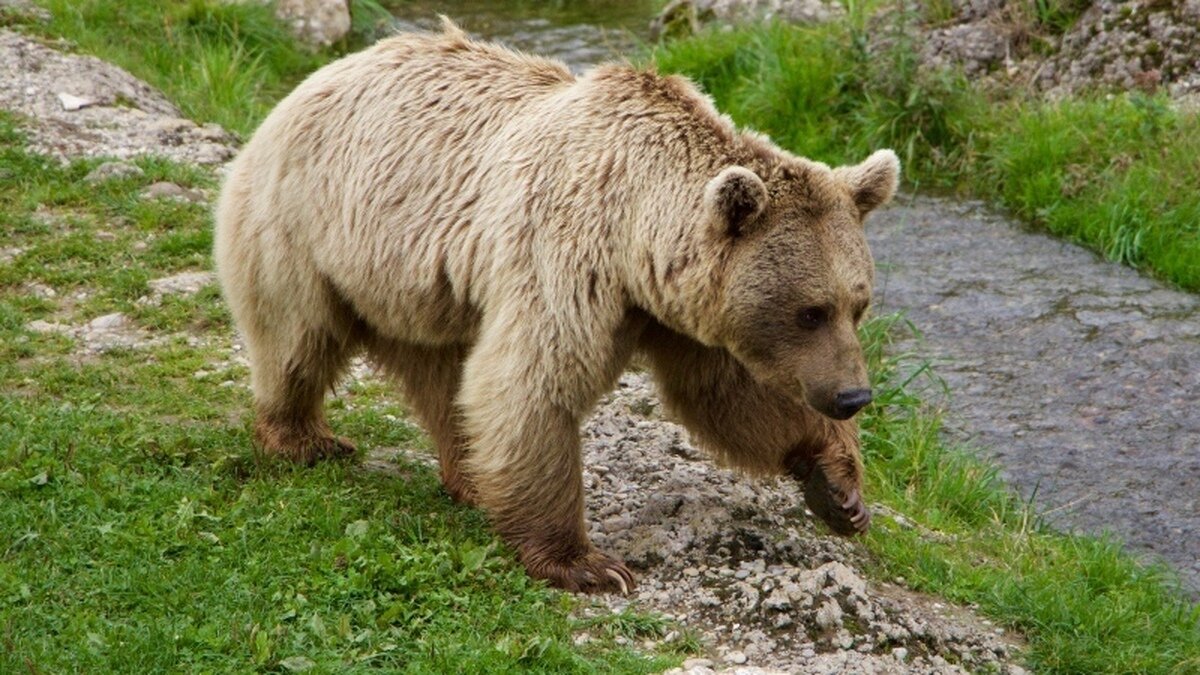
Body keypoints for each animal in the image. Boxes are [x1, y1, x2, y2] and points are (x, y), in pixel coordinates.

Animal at [211, 18, 897, 590]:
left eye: (857, 304)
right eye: (810, 311)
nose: (853, 396)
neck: (636, 235)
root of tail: (311, 81)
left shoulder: (678, 311)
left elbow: (728, 395)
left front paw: (839, 488)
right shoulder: (566, 254)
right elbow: (534, 383)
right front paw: (586, 563)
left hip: (420, 288)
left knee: (444, 378)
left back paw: (469, 476)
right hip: (309, 228)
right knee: (297, 337)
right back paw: (304, 439)